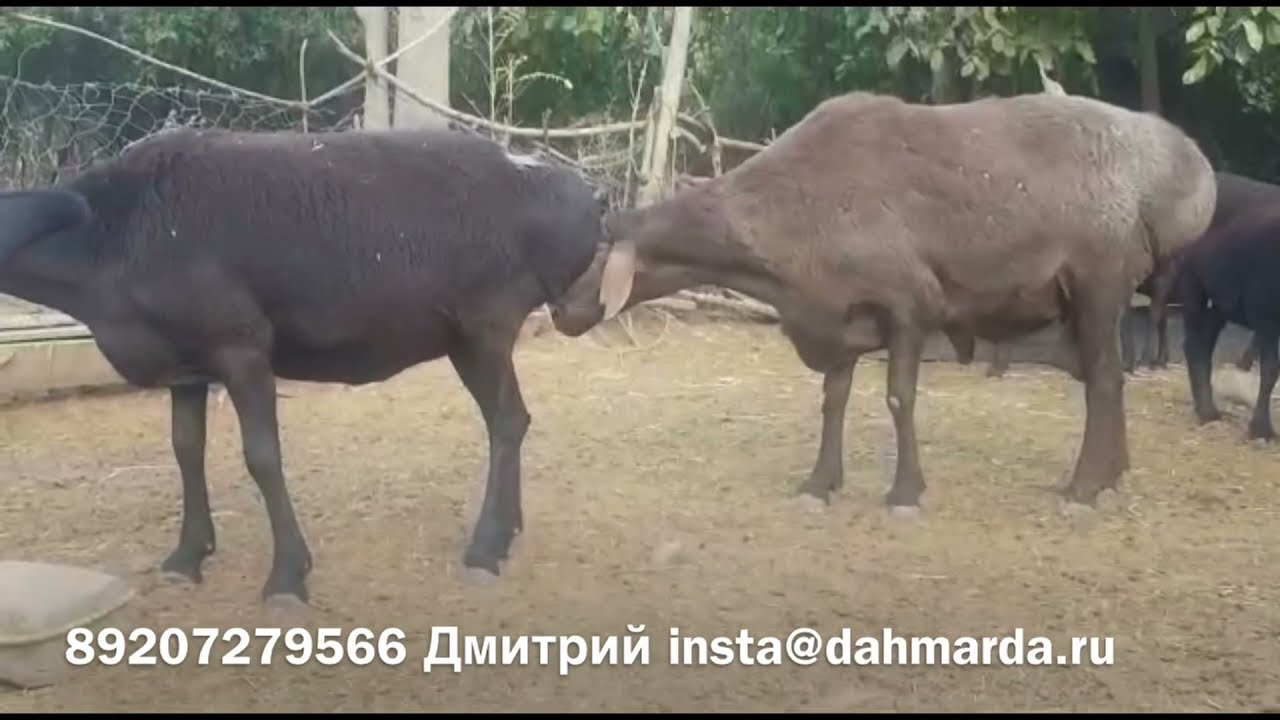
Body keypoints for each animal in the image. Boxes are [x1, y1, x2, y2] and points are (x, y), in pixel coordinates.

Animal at [0, 126, 607, 607]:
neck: (110, 241)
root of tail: (580, 193)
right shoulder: (187, 365)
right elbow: (185, 450)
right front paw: (188, 556)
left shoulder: (242, 348)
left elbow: (263, 458)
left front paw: (287, 578)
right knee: (513, 419)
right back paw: (507, 531)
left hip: (484, 329)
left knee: (506, 422)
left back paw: (484, 548)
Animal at [549, 90, 1216, 515]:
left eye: (596, 252)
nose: (557, 310)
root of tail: (1187, 175)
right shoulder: (838, 314)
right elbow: (833, 401)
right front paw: (820, 483)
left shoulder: (909, 302)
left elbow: (899, 399)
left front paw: (905, 492)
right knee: (1111, 378)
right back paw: (1111, 475)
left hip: (1099, 280)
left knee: (1102, 382)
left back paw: (1083, 489)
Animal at [1174, 206, 1280, 441]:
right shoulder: (1267, 321)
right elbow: (1270, 371)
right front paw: (1261, 430)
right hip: (1194, 292)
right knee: (1194, 347)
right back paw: (1206, 413)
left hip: (1217, 308)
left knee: (1204, 347)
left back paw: (1207, 409)